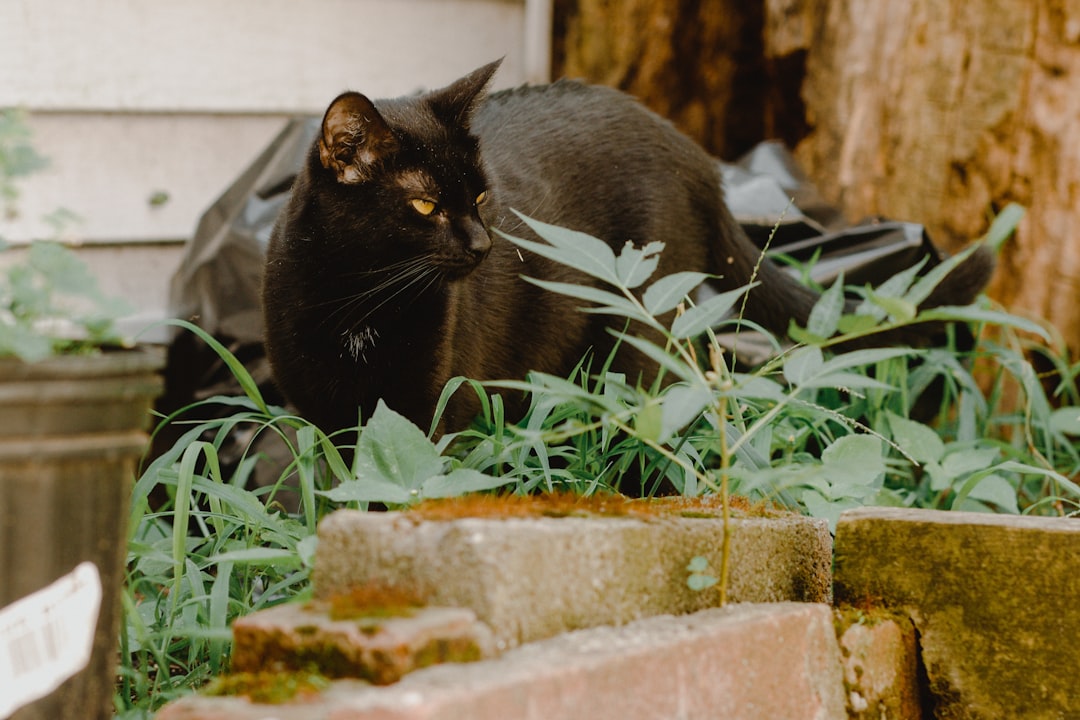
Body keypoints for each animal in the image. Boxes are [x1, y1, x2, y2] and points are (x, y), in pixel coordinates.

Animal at [261, 60, 993, 433]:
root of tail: (694, 156)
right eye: (425, 206)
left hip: (642, 331)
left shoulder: (438, 405)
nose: (483, 244)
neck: (359, 299)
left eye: (480, 196)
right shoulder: (320, 412)